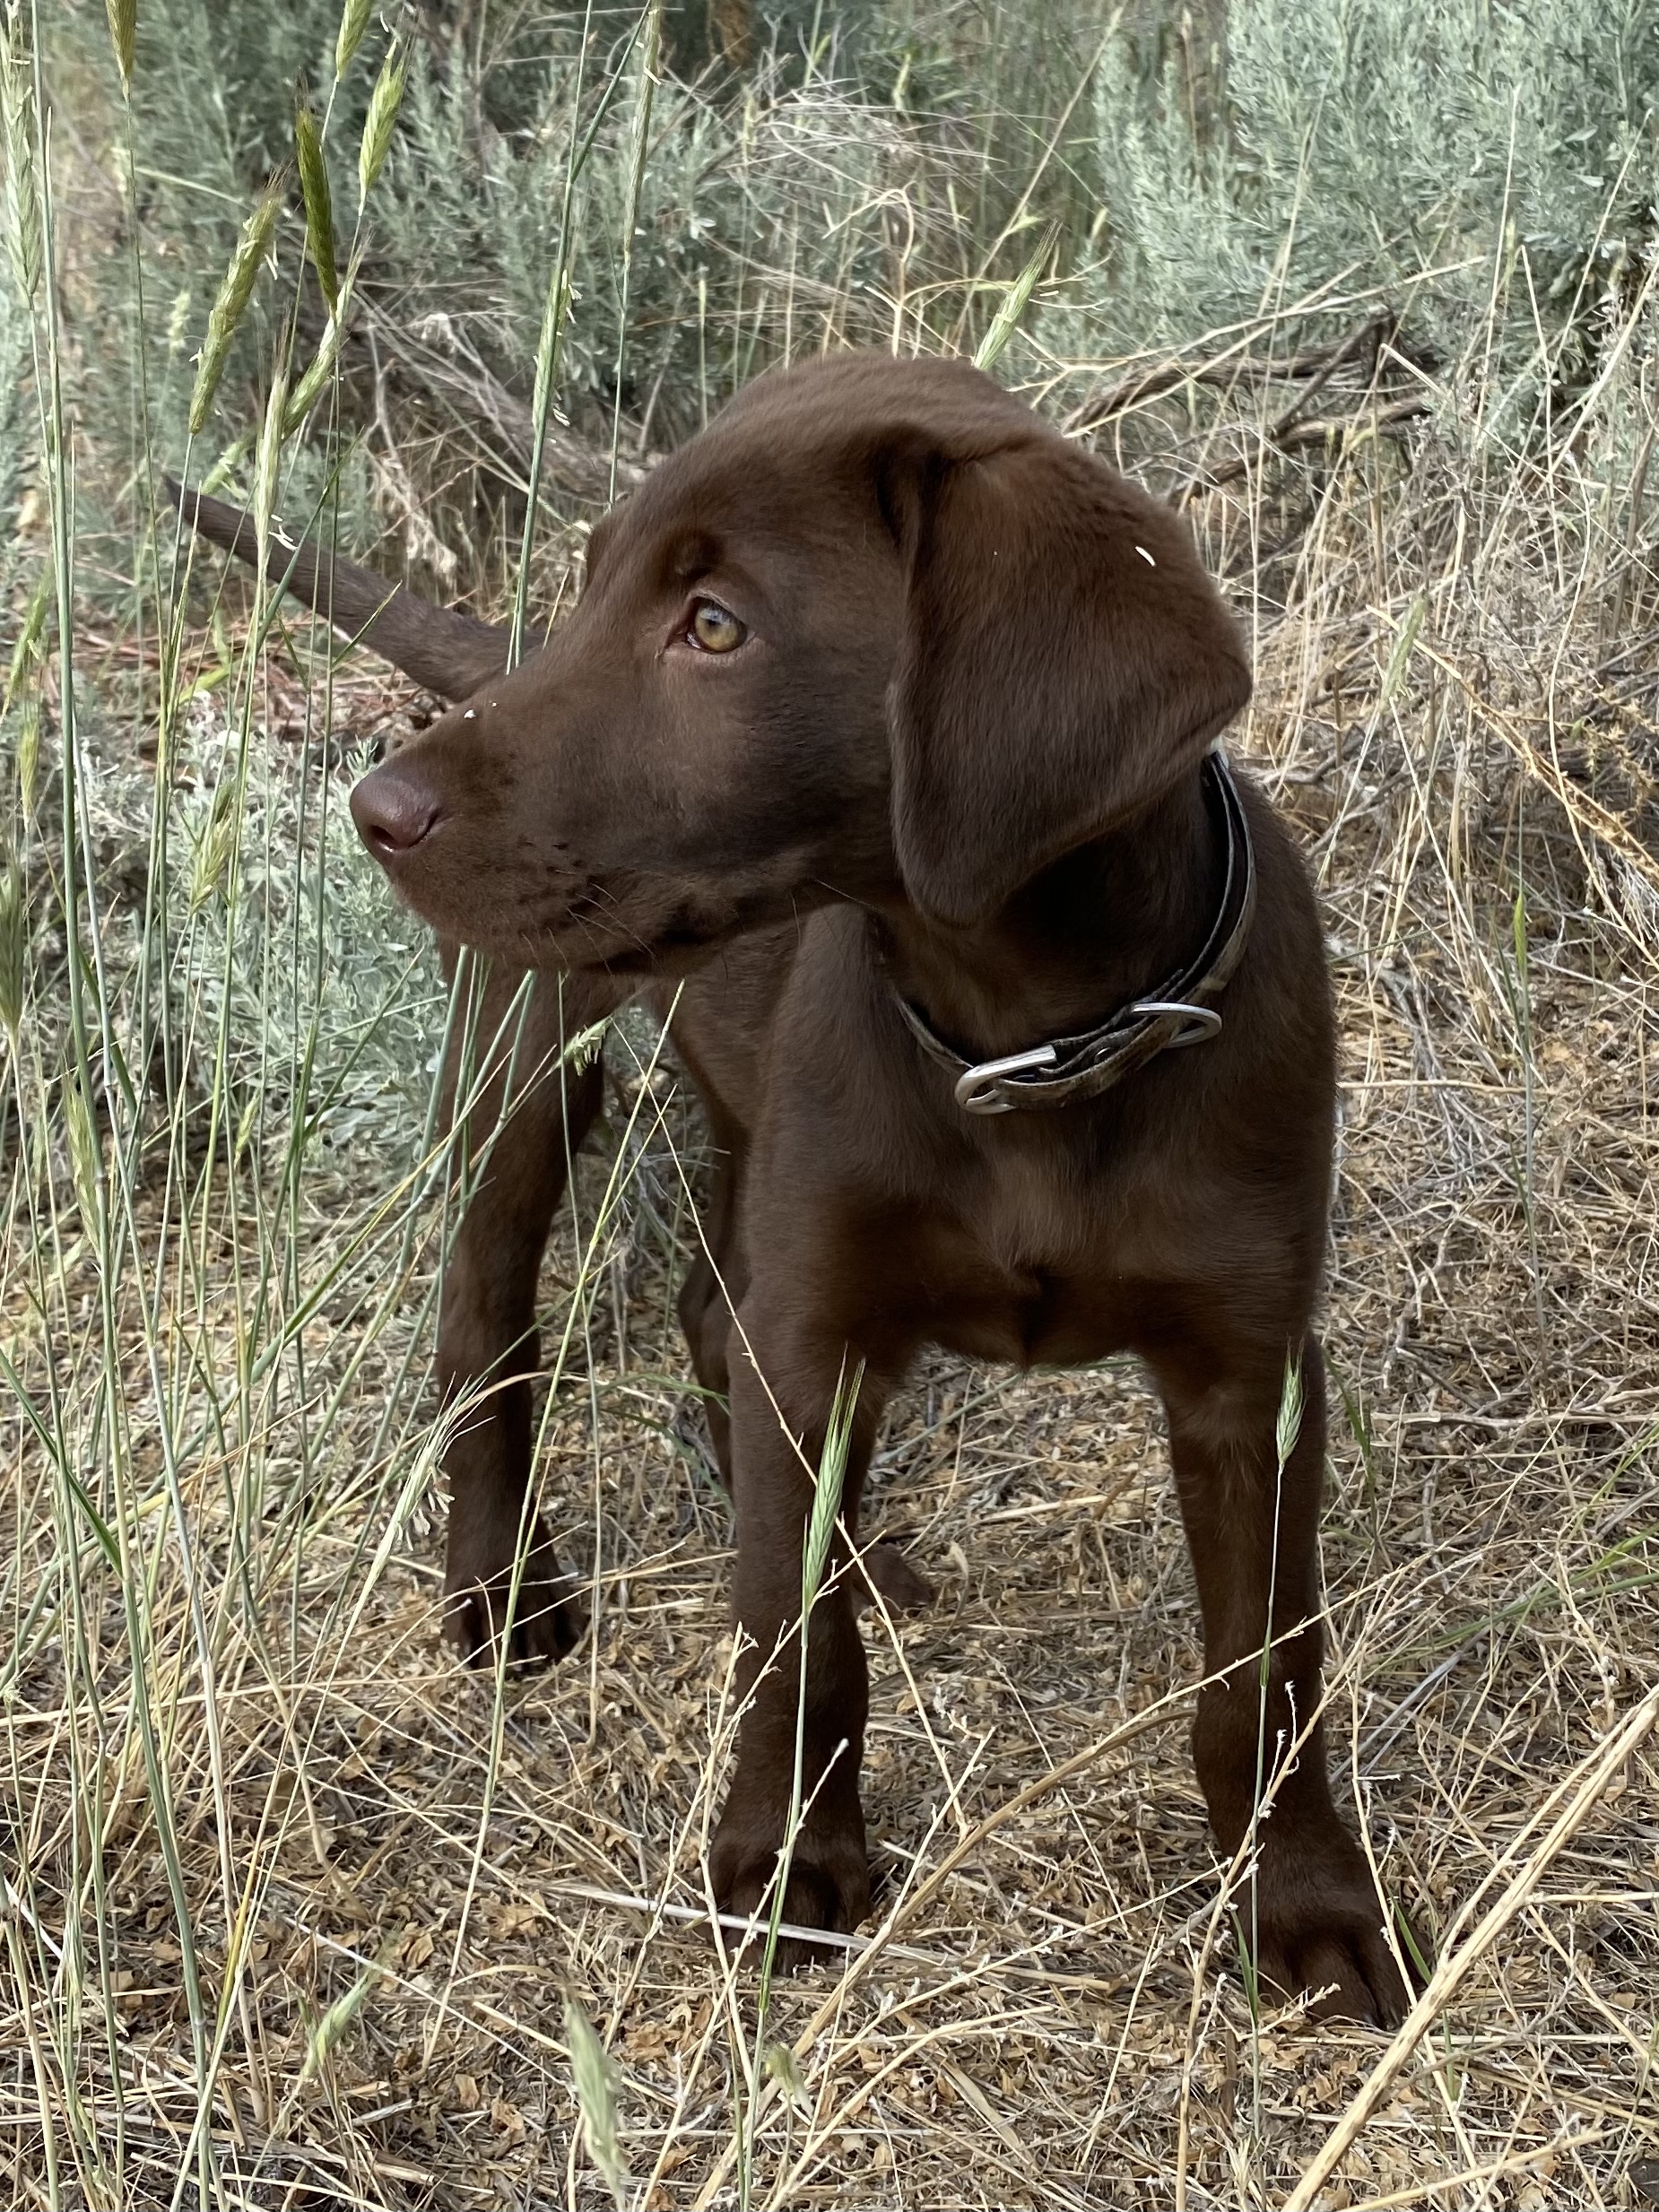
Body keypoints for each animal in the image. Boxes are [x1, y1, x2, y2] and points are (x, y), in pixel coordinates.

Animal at [169, 349, 1415, 2025]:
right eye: (595, 583)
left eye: (715, 626)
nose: (381, 809)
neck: (1025, 1043)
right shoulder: (821, 1319)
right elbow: (790, 1632)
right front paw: (785, 1862)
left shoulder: (1251, 1372)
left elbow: (1265, 1669)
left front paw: (1303, 1898)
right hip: (521, 1057)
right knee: (489, 1314)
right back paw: (502, 1587)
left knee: (712, 1319)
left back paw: (854, 1543)